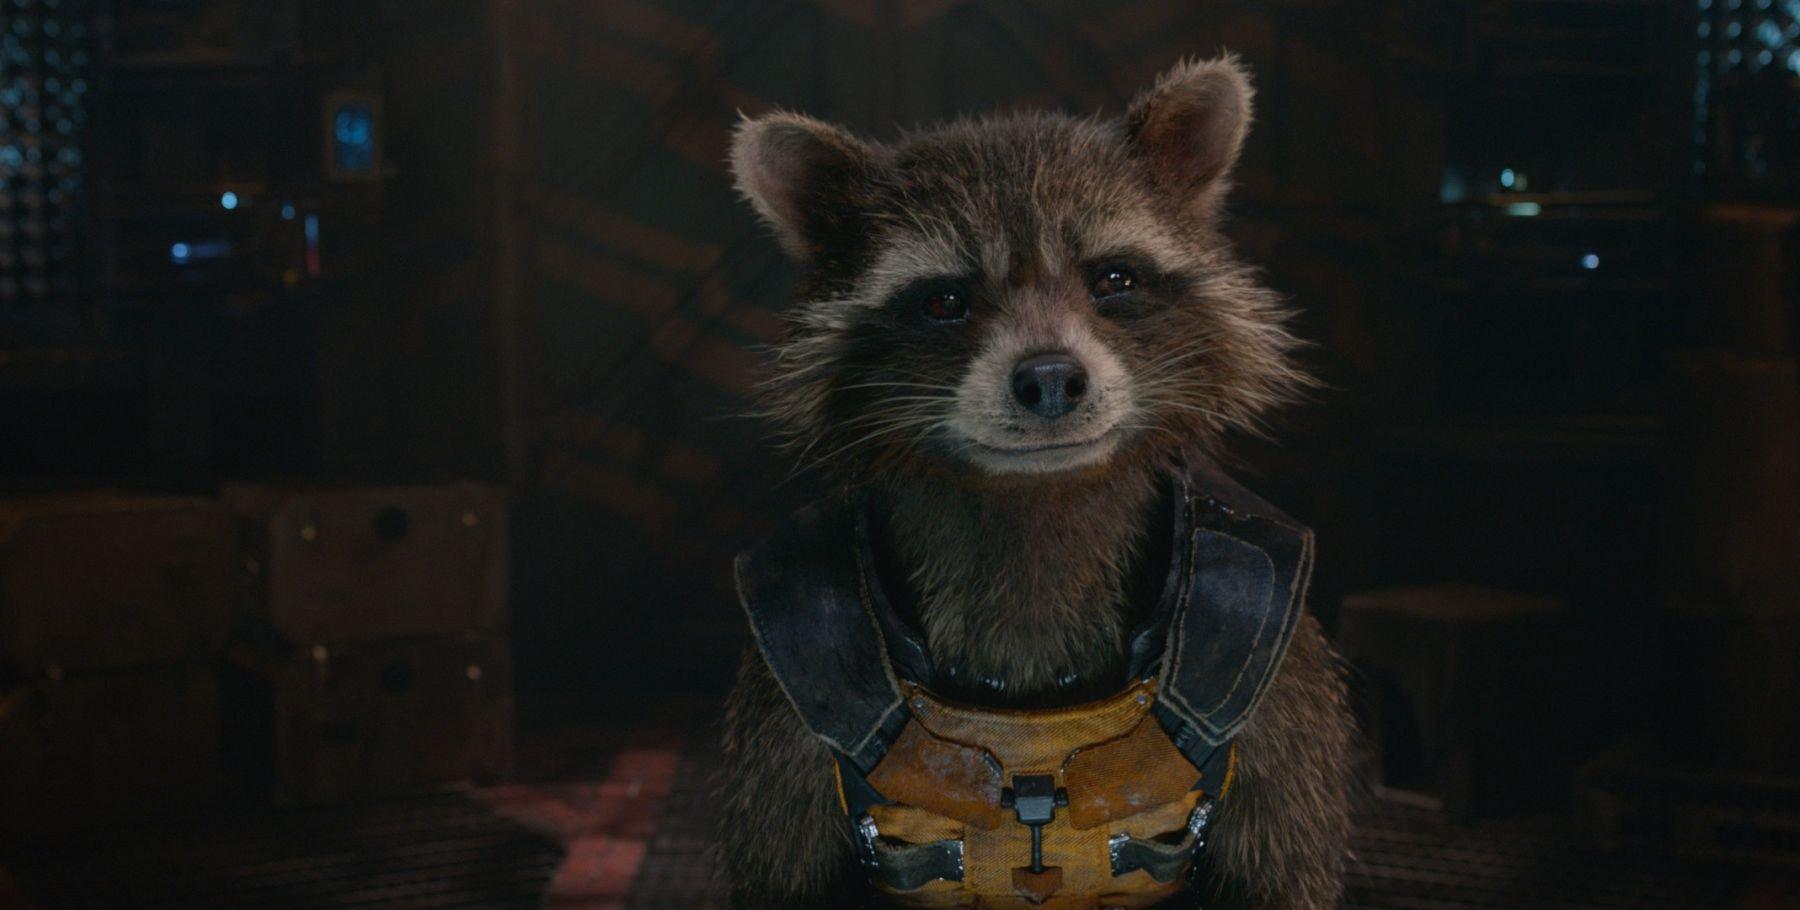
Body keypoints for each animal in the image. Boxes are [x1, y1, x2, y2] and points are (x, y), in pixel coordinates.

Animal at [720, 57, 1352, 909]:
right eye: (944, 299)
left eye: (1114, 277)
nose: (1050, 378)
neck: (1036, 505)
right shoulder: (786, 694)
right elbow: (779, 873)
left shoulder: (1277, 672)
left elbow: (1285, 873)